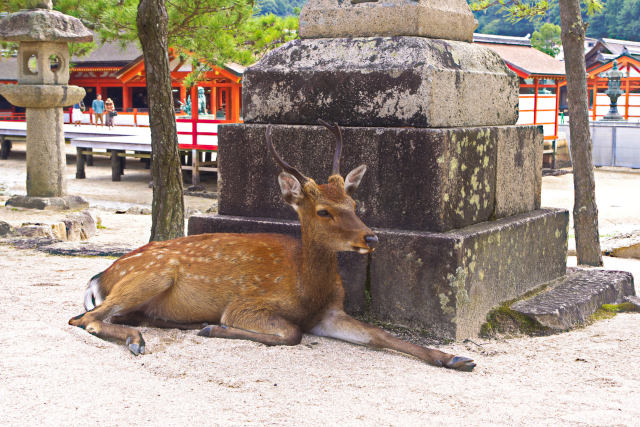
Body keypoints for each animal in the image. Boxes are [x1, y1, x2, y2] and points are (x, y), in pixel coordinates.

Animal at [69, 120, 476, 372]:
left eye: (353, 203)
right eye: (324, 211)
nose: (371, 237)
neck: (307, 290)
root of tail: (98, 277)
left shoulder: (330, 313)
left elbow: (381, 335)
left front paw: (456, 359)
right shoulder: (246, 303)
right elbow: (291, 333)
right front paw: (214, 329)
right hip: (152, 275)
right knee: (84, 319)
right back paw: (139, 339)